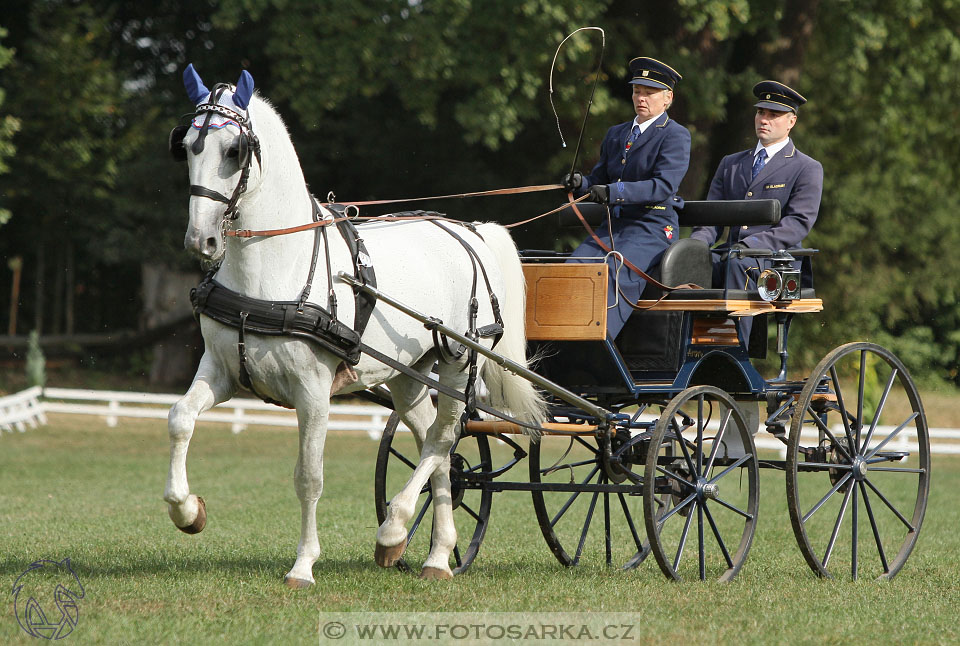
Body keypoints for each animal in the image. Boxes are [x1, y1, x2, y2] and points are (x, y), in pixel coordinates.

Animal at [161, 64, 544, 588]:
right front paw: (187, 511)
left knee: (444, 437)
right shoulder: (221, 372)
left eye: (234, 150)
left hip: (459, 361)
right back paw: (436, 555)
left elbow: (309, 476)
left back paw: (395, 529)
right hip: (408, 376)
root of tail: (469, 232)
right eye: (186, 147)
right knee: (438, 451)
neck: (274, 269)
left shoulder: (313, 391)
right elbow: (180, 418)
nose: (201, 241)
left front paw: (303, 565)